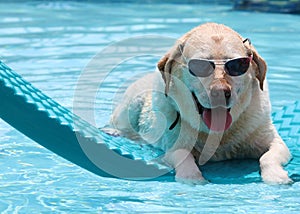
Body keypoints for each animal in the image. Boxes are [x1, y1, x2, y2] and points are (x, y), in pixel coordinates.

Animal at [109, 22, 292, 185]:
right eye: (200, 66)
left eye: (238, 65)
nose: (220, 92)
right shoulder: (174, 148)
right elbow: (184, 157)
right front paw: (192, 177)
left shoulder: (275, 142)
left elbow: (268, 157)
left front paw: (276, 176)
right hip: (133, 105)